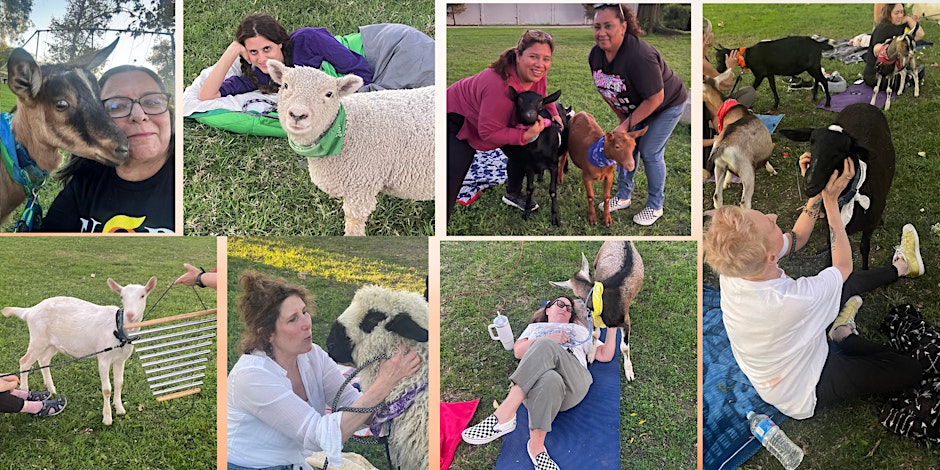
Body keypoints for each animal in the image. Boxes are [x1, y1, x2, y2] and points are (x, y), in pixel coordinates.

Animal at [2, 278, 157, 424]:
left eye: (142, 295)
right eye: (122, 297)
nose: (130, 315)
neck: (118, 329)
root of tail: (30, 311)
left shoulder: (121, 359)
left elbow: (119, 383)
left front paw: (119, 408)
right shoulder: (103, 357)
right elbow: (107, 389)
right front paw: (107, 418)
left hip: (52, 343)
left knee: (44, 359)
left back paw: (51, 389)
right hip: (38, 338)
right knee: (25, 362)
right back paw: (25, 391)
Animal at [266, 60, 436, 237]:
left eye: (329, 94)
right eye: (285, 85)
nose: (297, 115)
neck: (346, 126)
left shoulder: (361, 183)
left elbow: (354, 220)